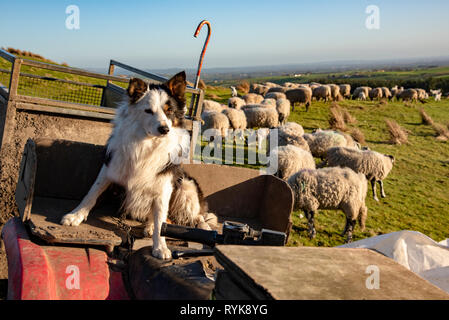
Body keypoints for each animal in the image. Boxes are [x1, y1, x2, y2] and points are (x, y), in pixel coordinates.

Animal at [60, 72, 209, 260]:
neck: (146, 143)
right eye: (148, 111)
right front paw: (75, 216)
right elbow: (92, 194)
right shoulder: (110, 167)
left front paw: (160, 246)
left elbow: (161, 218)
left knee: (195, 217)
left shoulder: (165, 184)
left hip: (186, 186)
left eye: (169, 110)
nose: (164, 129)